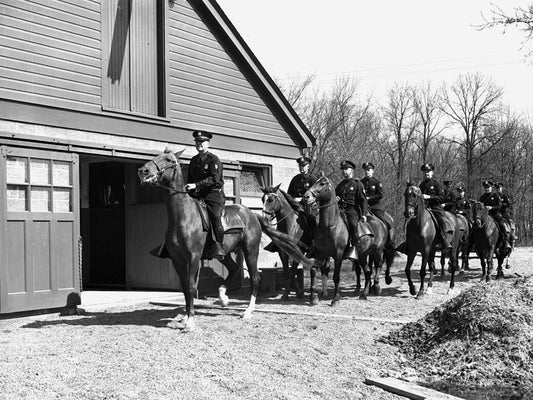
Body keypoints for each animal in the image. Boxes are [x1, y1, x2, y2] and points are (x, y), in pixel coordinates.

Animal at [137, 148, 312, 332]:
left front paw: (190, 321)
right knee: (234, 269)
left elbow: (191, 287)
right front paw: (186, 317)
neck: (183, 216)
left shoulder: (193, 258)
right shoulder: (177, 260)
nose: (143, 170)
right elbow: (185, 288)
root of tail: (252, 214)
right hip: (224, 253)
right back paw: (223, 297)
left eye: (169, 160)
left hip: (250, 251)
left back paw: (248, 311)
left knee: (255, 277)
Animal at [304, 176, 394, 306]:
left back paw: (376, 287)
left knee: (378, 265)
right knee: (367, 272)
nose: (306, 196)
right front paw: (313, 297)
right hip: (362, 255)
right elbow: (313, 271)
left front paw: (335, 299)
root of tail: (381, 222)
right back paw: (364, 294)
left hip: (377, 251)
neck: (330, 226)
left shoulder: (338, 255)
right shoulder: (321, 253)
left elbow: (336, 277)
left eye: (322, 183)